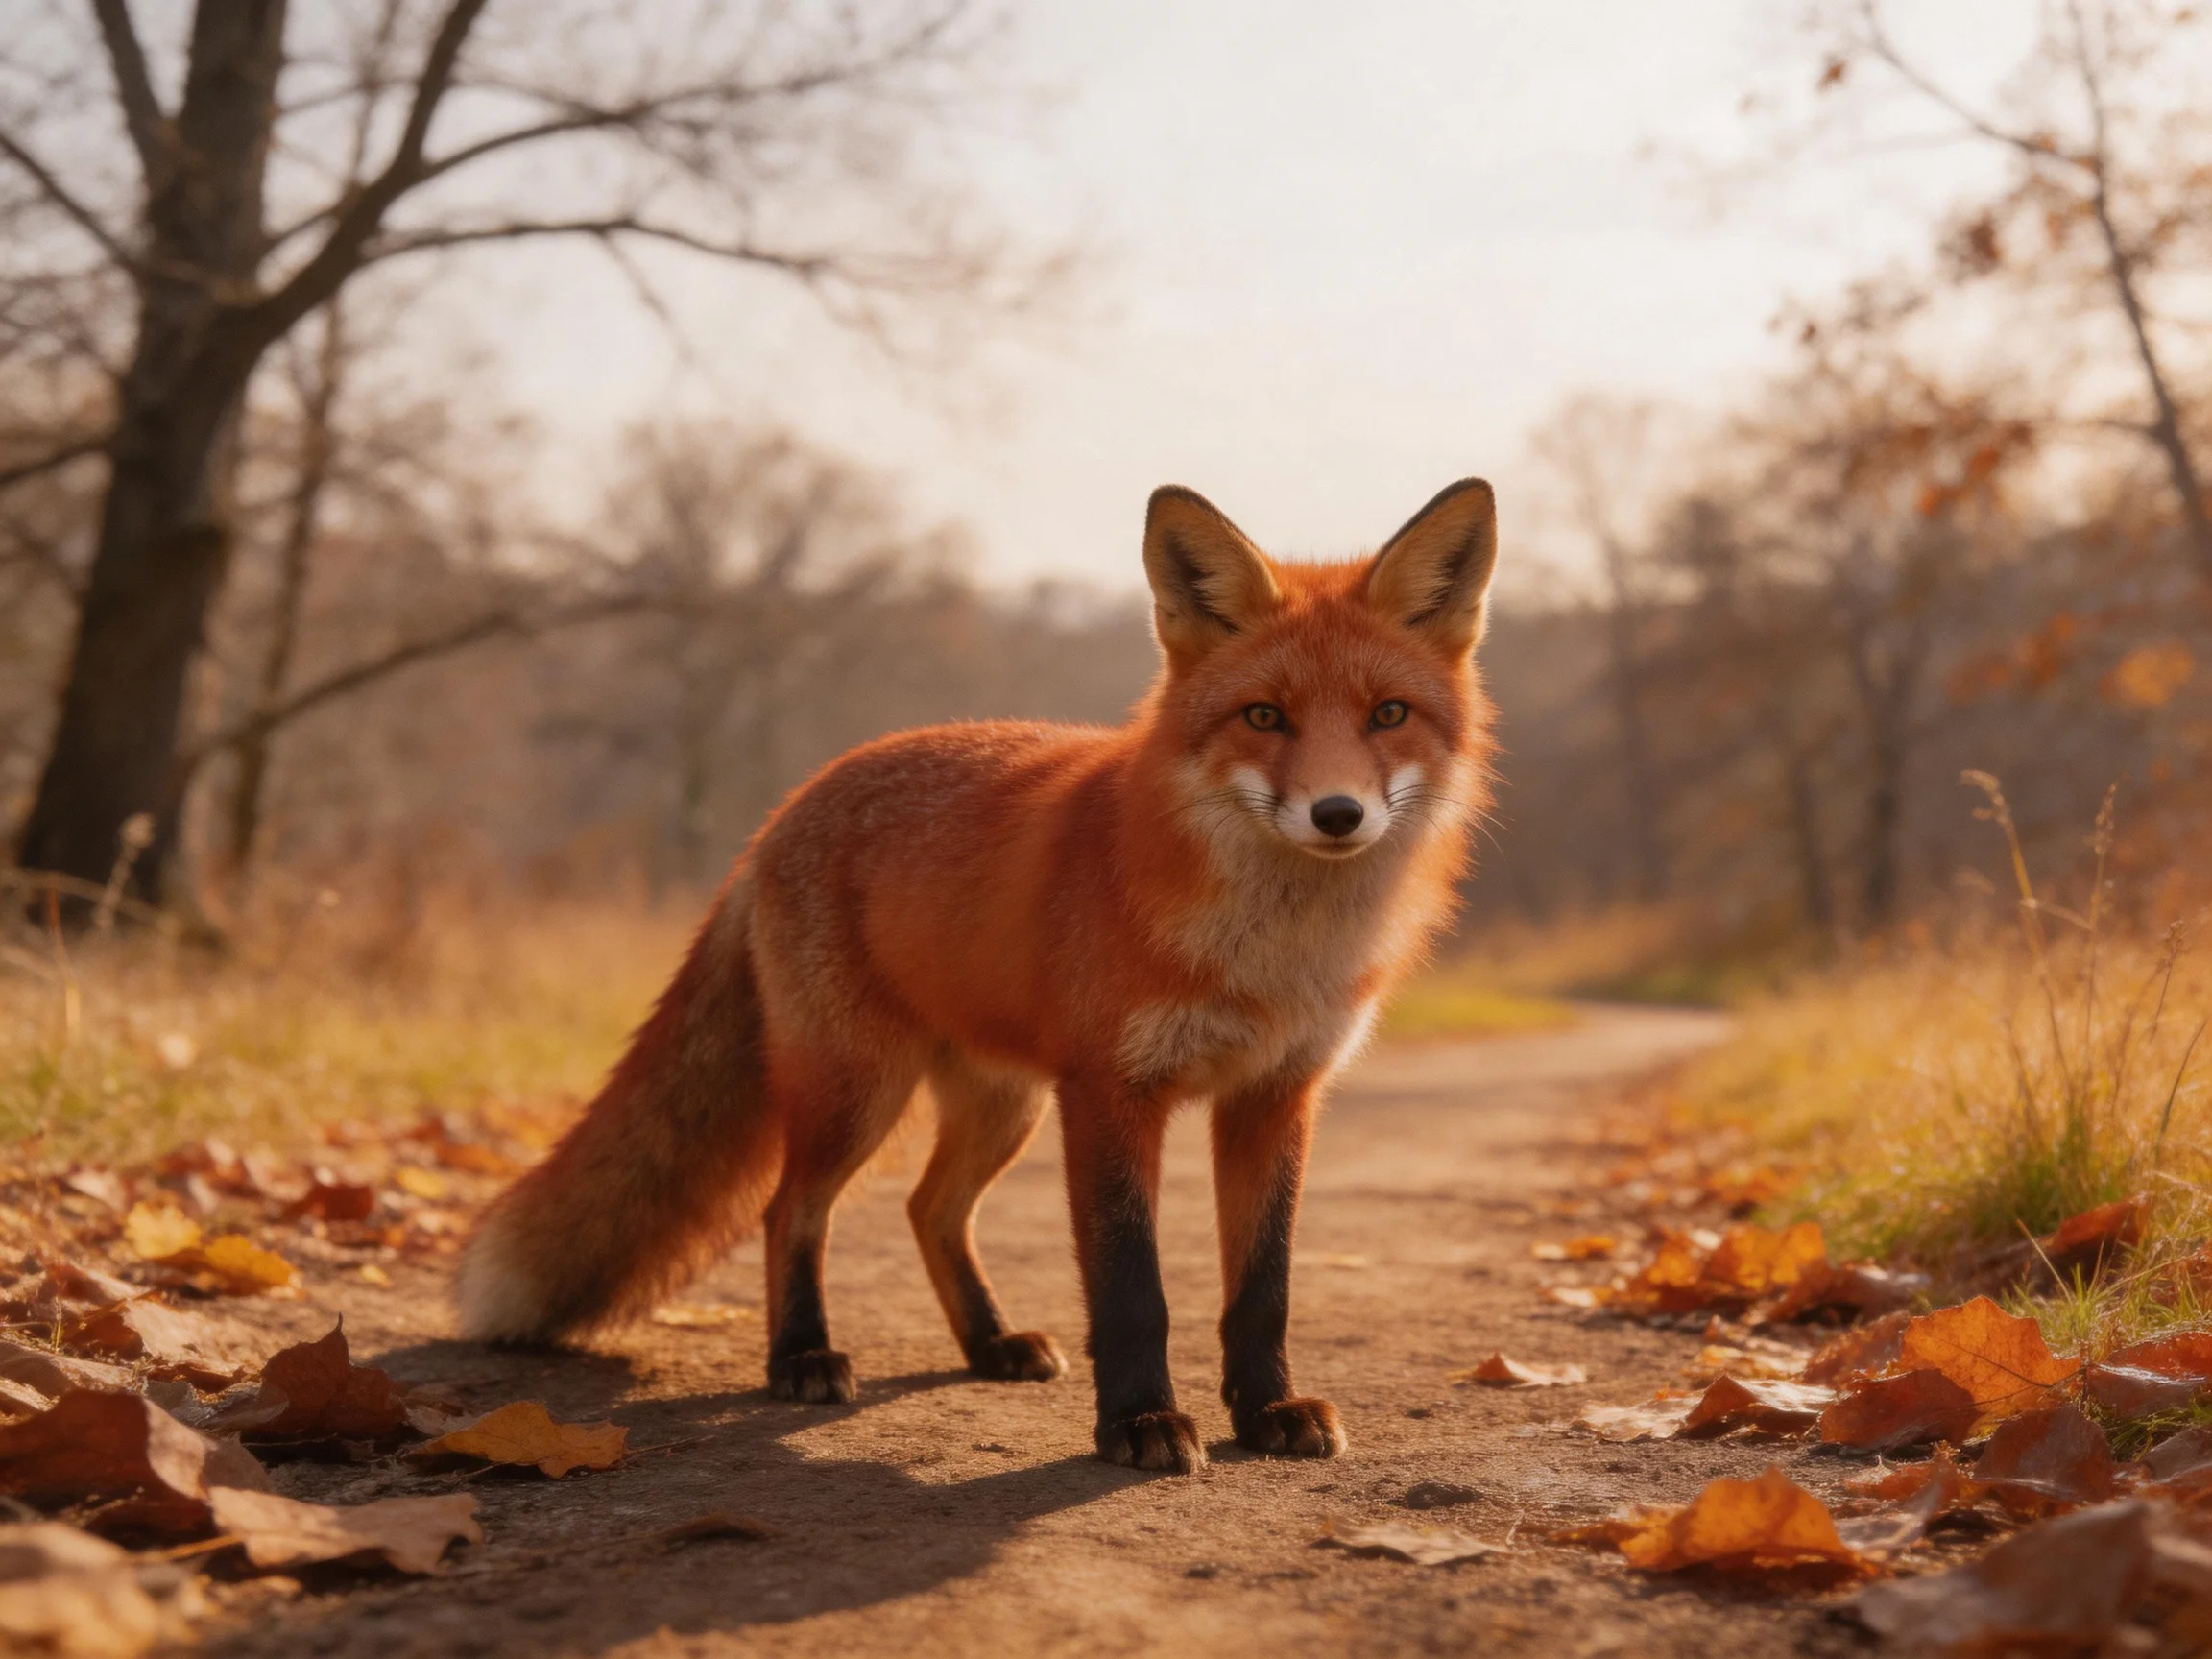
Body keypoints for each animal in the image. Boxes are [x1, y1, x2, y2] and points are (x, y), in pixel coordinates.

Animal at [457, 477, 1499, 1473]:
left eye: (1389, 714)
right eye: (1264, 717)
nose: (1338, 814)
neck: (1267, 956)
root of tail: (784, 810)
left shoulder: (1275, 1097)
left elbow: (1263, 1288)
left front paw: (1268, 1410)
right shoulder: (1111, 1091)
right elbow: (1133, 1291)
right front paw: (1141, 1423)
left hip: (1003, 1104)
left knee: (929, 1209)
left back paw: (989, 1342)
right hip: (860, 1091)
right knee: (789, 1208)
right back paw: (801, 1356)